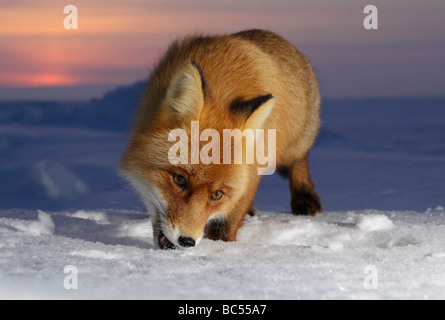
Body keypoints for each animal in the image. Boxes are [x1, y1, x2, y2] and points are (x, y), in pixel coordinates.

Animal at [119, 29, 320, 250]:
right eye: (179, 179)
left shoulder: (253, 168)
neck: (221, 84)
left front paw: (222, 246)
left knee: (299, 160)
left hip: (294, 144)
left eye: (217, 195)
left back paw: (304, 196)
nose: (187, 241)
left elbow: (229, 220)